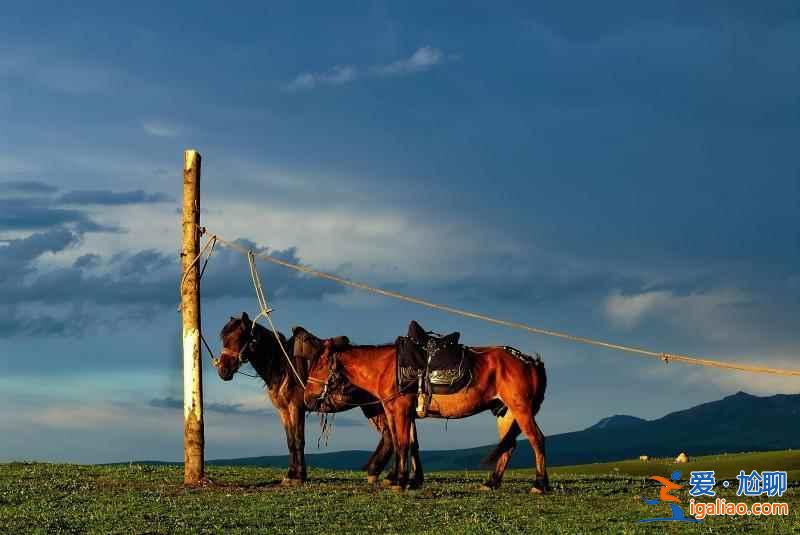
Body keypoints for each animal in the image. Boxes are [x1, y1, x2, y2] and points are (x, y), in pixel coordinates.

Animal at [212, 314, 424, 486]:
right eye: (224, 338)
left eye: (240, 337)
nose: (223, 370)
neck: (283, 366)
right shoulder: (283, 410)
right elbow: (290, 440)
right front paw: (291, 474)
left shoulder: (296, 408)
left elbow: (299, 440)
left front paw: (298, 476)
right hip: (375, 408)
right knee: (391, 437)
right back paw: (378, 472)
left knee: (393, 436)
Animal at [304, 340, 548, 494]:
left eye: (319, 365)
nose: (307, 397)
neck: (385, 369)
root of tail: (530, 361)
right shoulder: (404, 413)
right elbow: (410, 444)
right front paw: (410, 480)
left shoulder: (400, 409)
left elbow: (401, 443)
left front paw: (400, 481)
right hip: (506, 413)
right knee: (509, 446)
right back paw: (492, 482)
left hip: (521, 409)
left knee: (537, 439)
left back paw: (540, 484)